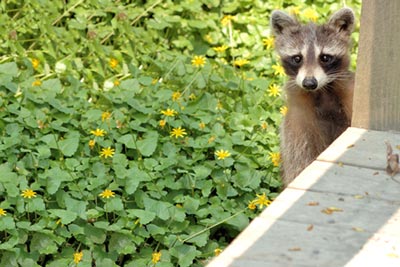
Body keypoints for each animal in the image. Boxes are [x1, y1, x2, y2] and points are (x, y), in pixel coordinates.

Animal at [270, 7, 354, 186]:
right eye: (297, 58)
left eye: (325, 57)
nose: (309, 83)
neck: (321, 92)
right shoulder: (298, 124)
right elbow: (300, 161)